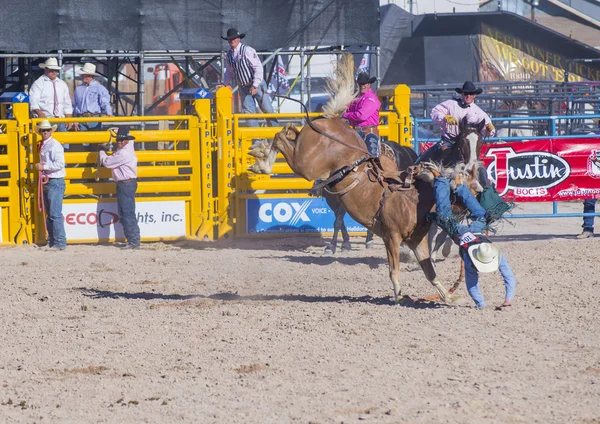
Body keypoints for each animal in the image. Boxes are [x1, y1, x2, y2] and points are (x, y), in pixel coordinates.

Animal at [248, 53, 454, 304]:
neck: (413, 199)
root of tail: (330, 121)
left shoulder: (415, 241)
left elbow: (429, 270)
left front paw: (448, 295)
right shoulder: (392, 237)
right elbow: (392, 267)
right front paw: (398, 292)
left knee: (287, 133)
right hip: (305, 163)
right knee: (281, 137)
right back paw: (262, 159)